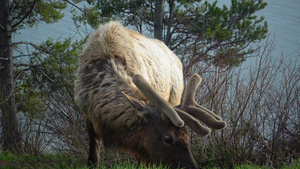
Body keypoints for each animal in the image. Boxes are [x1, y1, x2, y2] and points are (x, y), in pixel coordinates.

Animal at [74, 21, 226, 169]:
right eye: (168, 138)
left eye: (187, 136)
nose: (192, 166)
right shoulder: (88, 113)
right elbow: (93, 158)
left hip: (175, 98)